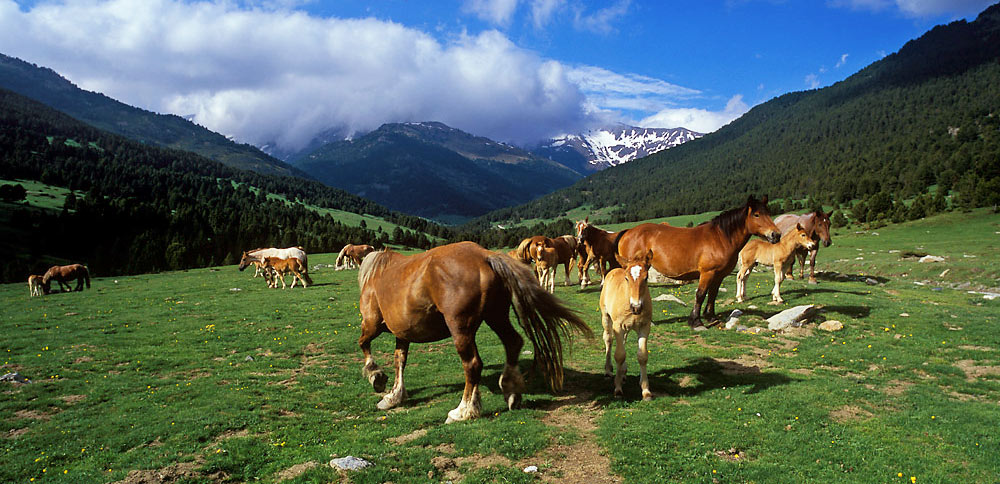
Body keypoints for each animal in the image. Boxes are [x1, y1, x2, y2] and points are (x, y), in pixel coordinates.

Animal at [356, 242, 588, 424]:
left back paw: (463, 410)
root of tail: (485, 256)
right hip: (496, 316)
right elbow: (400, 360)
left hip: (461, 329)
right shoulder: (403, 333)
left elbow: (363, 344)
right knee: (513, 343)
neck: (377, 274)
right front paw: (394, 395)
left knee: (473, 365)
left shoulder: (371, 325)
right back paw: (511, 390)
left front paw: (376, 376)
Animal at [600, 250, 656, 400]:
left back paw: (623, 372)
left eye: (646, 277)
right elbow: (619, 355)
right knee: (609, 339)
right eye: (626, 278)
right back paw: (608, 370)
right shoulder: (618, 326)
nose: (636, 307)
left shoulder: (644, 327)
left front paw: (646, 391)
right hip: (606, 317)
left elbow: (642, 356)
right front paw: (618, 389)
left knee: (623, 341)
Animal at [612, 197, 784, 328]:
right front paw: (696, 321)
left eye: (768, 213)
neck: (720, 237)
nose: (776, 235)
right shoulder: (707, 273)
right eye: (756, 214)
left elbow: (712, 294)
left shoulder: (719, 275)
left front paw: (711, 317)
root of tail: (628, 232)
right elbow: (700, 295)